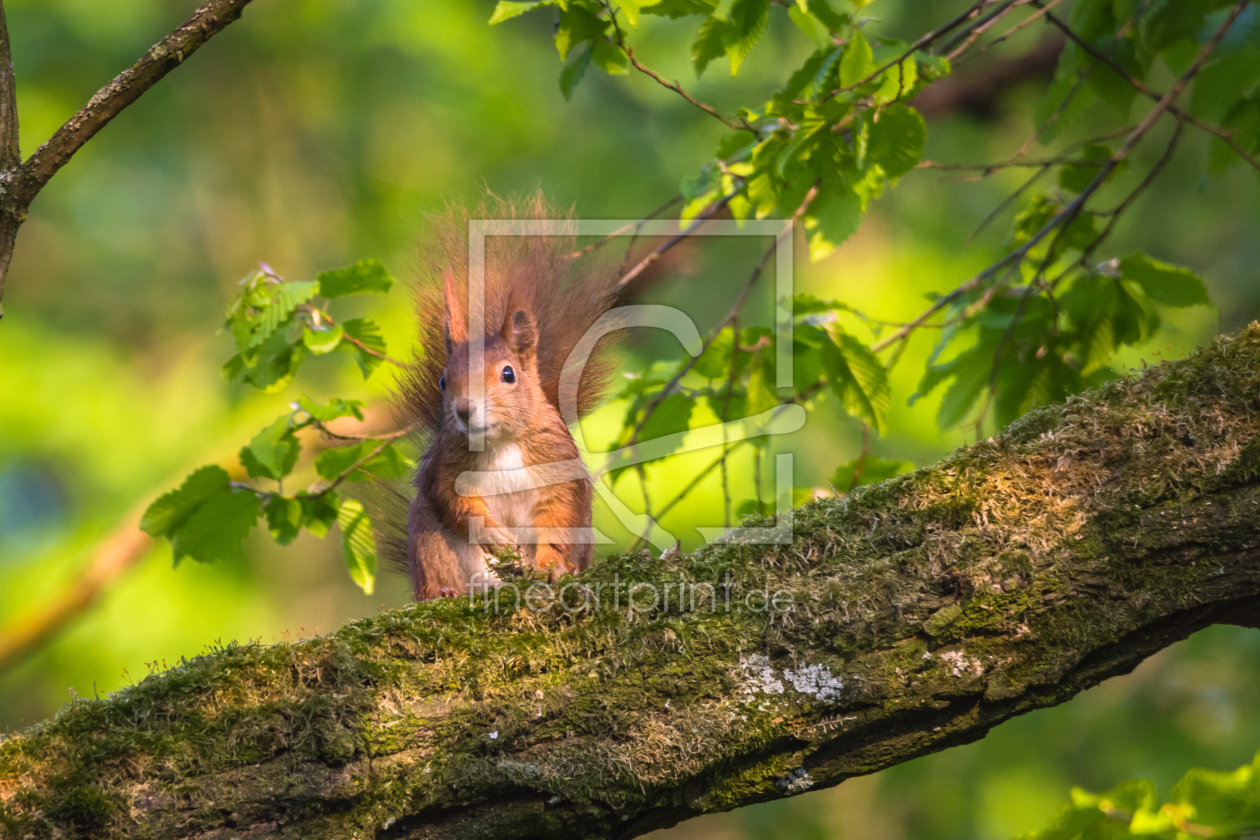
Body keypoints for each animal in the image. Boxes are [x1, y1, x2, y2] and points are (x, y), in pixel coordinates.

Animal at [400, 197, 617, 601]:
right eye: (442, 381)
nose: (464, 411)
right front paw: (493, 534)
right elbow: (453, 499)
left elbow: (557, 516)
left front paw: (550, 566)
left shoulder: (556, 466)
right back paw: (444, 592)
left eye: (508, 374)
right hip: (429, 539)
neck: (499, 444)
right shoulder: (444, 468)